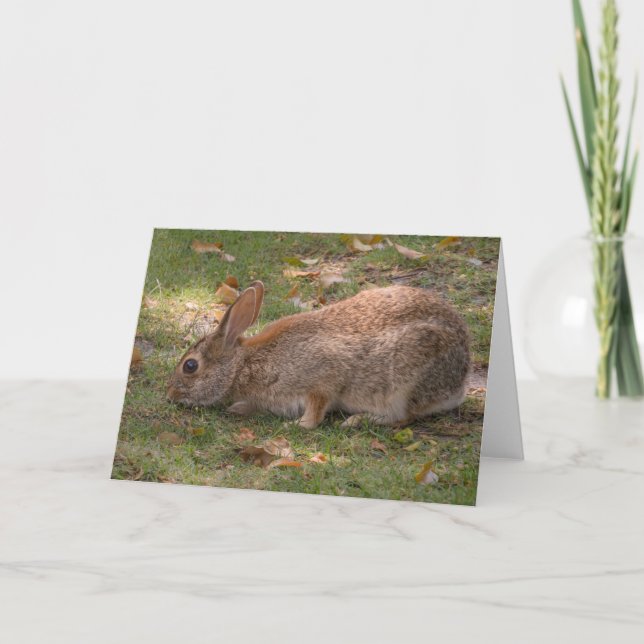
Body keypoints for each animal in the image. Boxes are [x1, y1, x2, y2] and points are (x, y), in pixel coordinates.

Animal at [167, 281, 470, 428]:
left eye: (190, 366)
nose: (170, 395)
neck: (242, 366)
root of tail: (460, 382)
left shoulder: (322, 377)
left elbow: (316, 410)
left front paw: (297, 425)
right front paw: (238, 408)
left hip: (406, 381)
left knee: (404, 416)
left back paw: (356, 421)